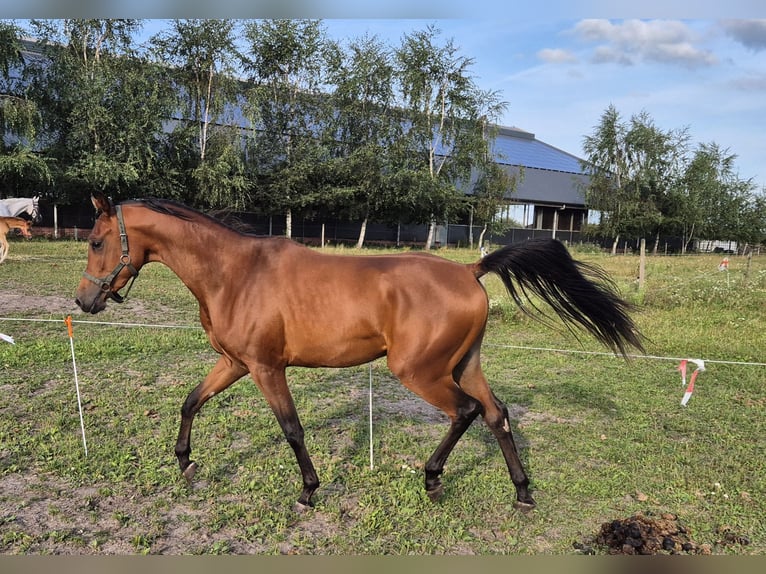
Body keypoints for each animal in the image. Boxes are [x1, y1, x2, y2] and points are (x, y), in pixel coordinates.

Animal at [76, 196, 640, 510]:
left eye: (98, 241)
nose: (84, 301)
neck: (236, 273)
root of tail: (470, 270)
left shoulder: (265, 368)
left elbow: (292, 429)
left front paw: (308, 491)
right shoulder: (235, 363)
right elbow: (192, 400)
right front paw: (186, 463)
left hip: (419, 371)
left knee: (466, 412)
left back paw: (433, 479)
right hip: (465, 364)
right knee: (496, 414)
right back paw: (521, 492)